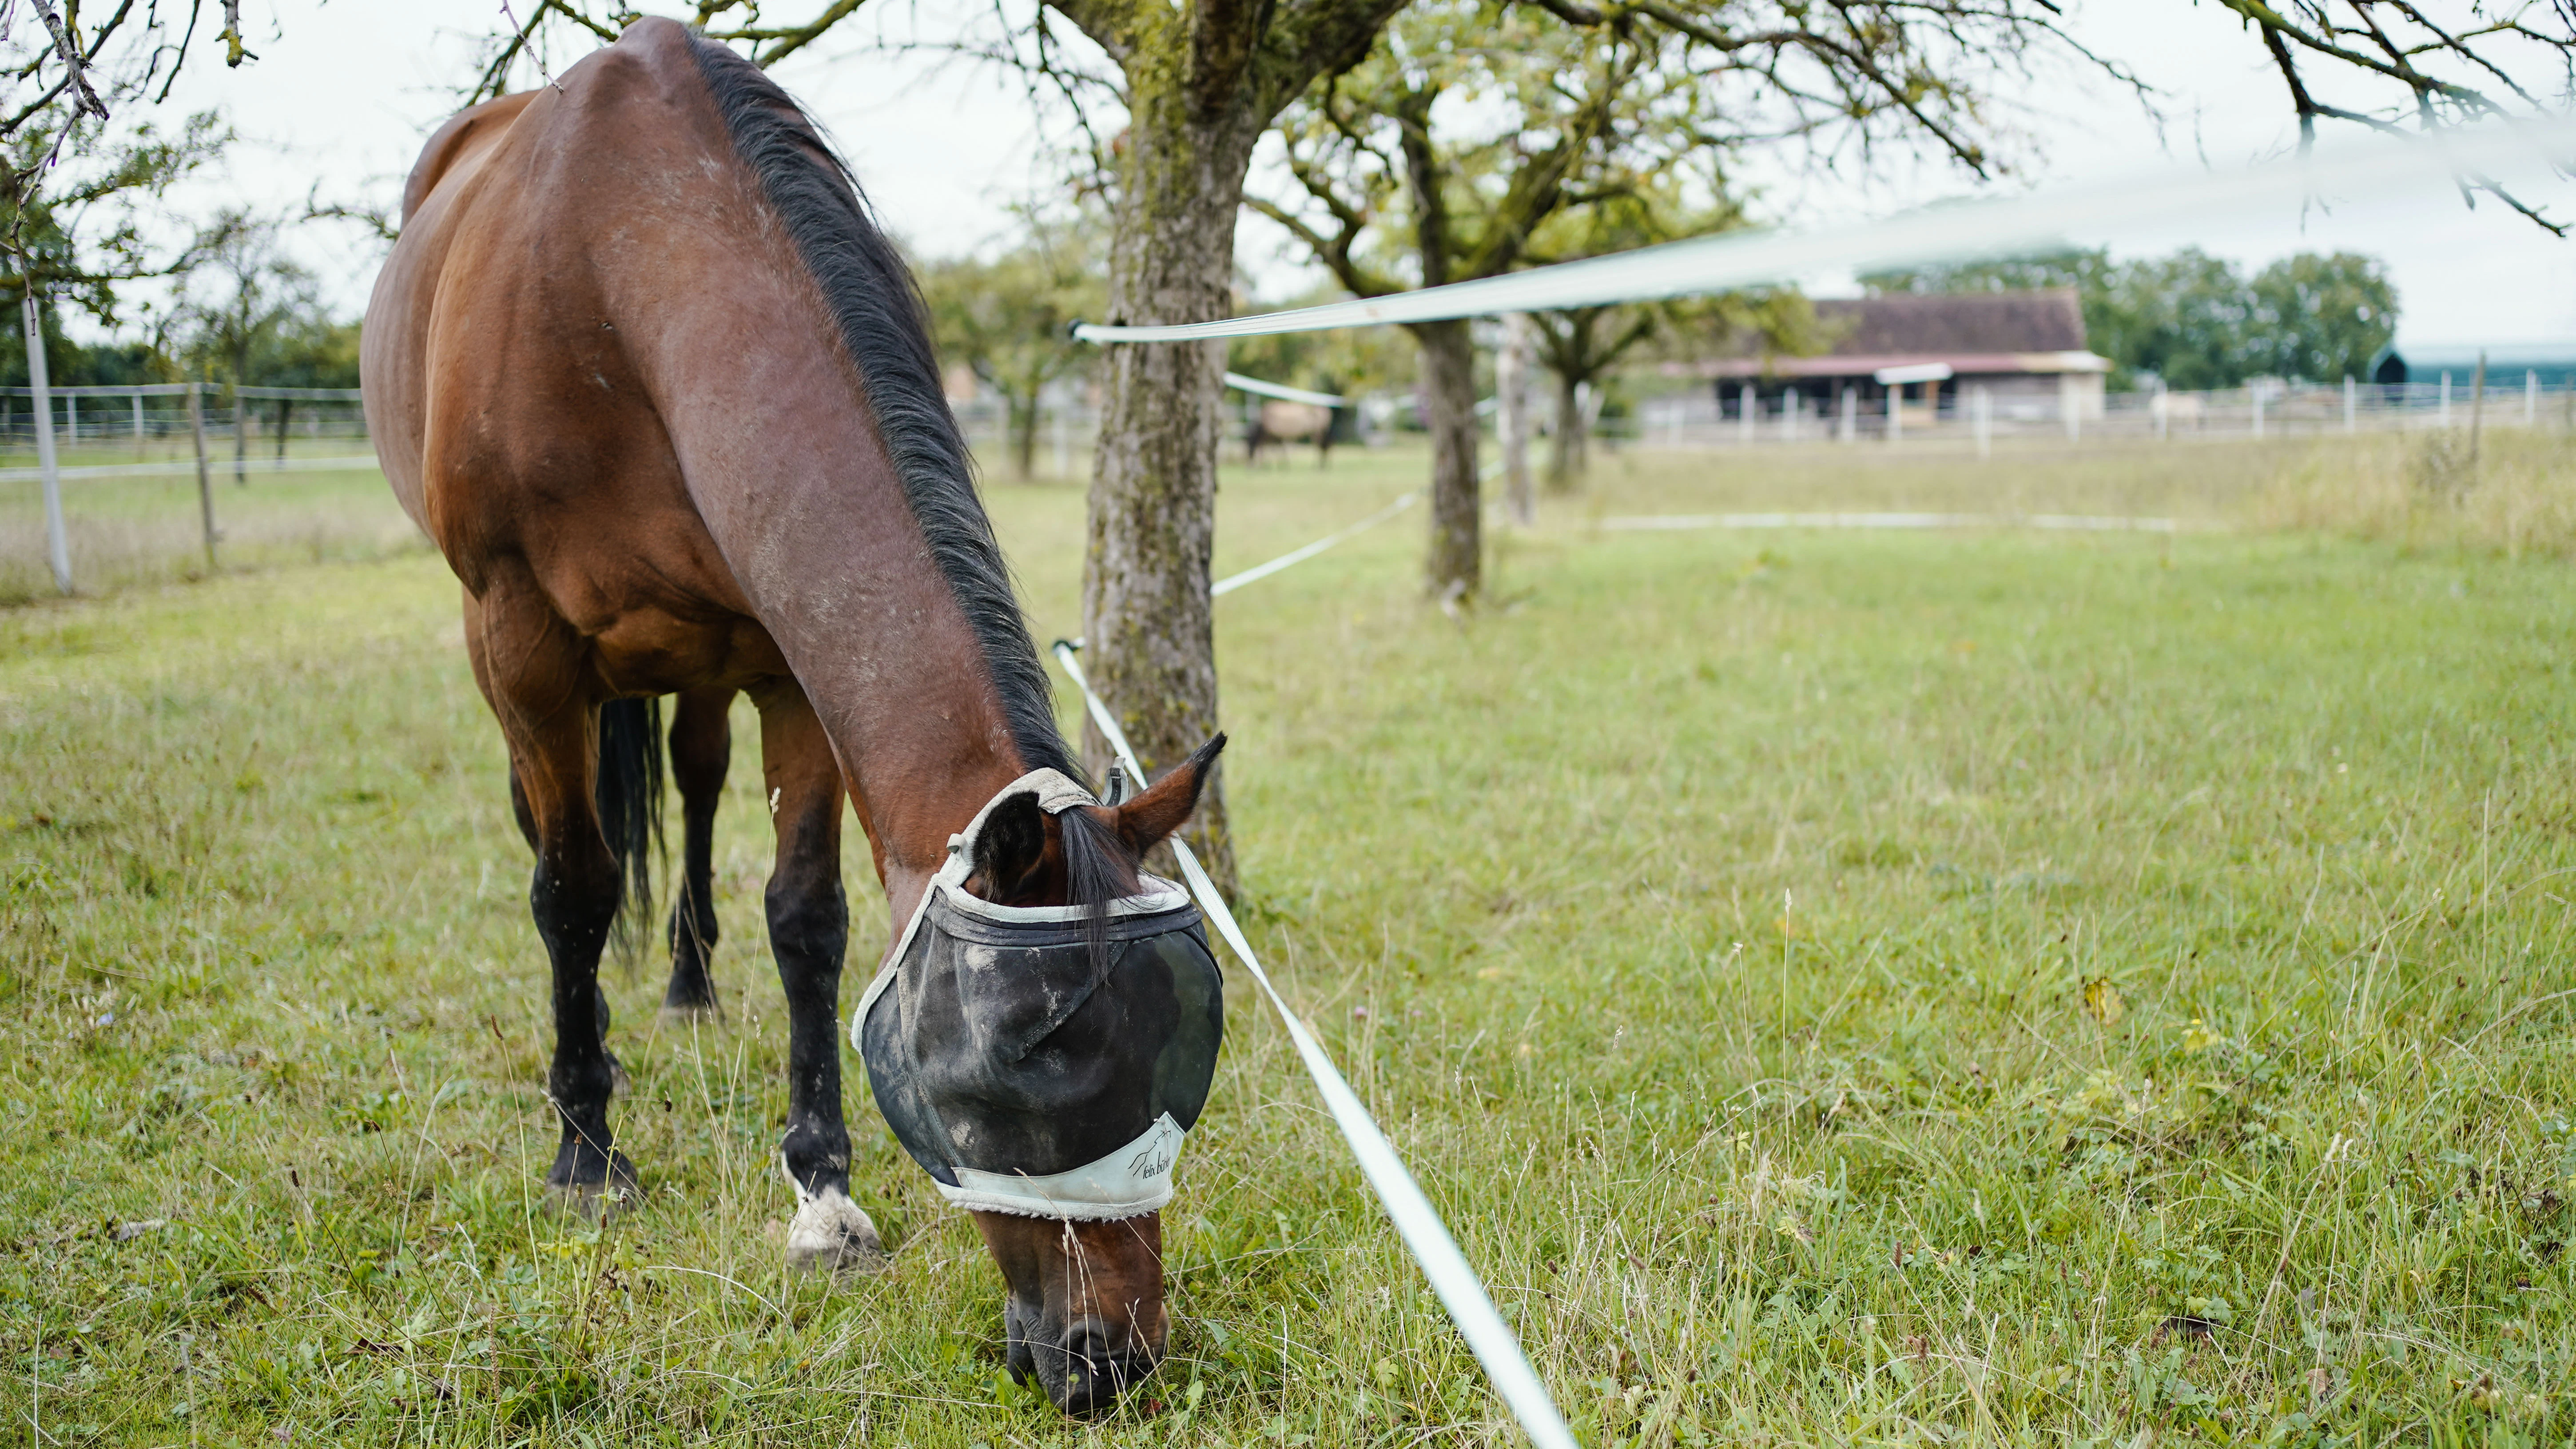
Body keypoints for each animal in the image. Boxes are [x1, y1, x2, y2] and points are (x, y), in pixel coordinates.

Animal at [361, 18, 1219, 1414]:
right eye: (1006, 1081)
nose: (1112, 1361)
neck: (617, 264)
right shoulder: (521, 643)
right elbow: (573, 891)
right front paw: (586, 1151)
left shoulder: (782, 661)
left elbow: (806, 916)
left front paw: (820, 1185)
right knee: (567, 843)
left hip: (702, 665)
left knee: (699, 784)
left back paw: (690, 982)